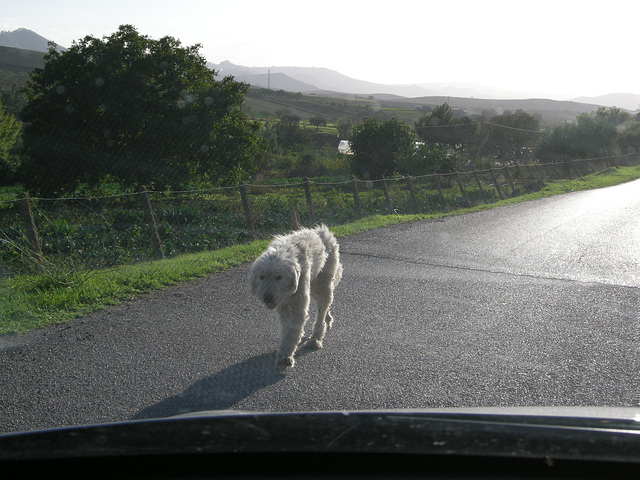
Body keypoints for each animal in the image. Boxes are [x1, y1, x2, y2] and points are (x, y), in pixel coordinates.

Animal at [248, 225, 342, 368]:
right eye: (262, 277)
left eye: (278, 277)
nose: (267, 297)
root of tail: (324, 230)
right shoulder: (283, 305)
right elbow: (286, 329)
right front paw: (284, 352)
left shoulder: (297, 305)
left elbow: (292, 331)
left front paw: (285, 355)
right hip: (313, 287)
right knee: (324, 306)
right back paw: (328, 319)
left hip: (323, 284)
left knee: (322, 309)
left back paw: (316, 338)